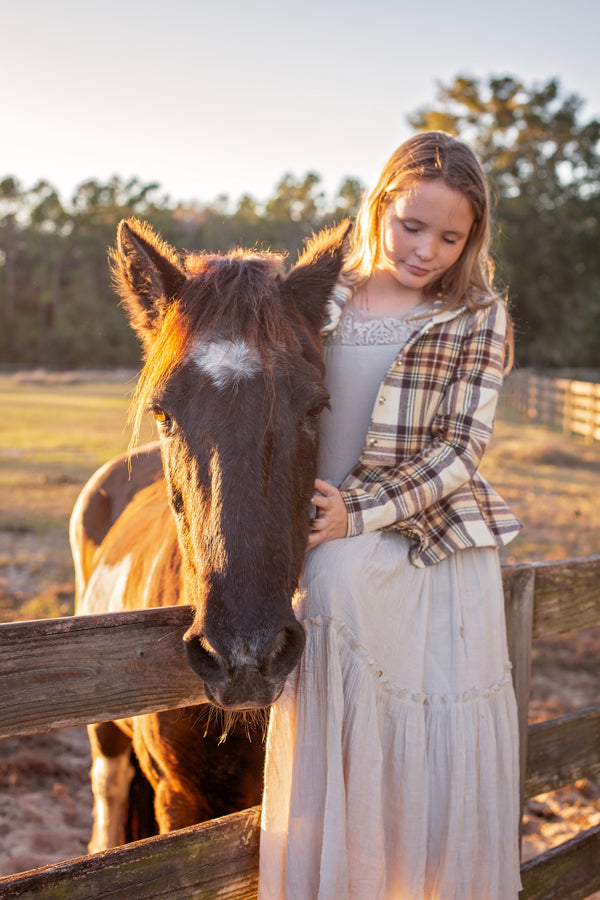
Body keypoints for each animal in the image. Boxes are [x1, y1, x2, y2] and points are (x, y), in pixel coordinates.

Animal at [71, 214, 350, 848]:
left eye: (316, 408)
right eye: (163, 413)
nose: (245, 656)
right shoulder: (178, 800)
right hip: (107, 737)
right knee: (108, 794)